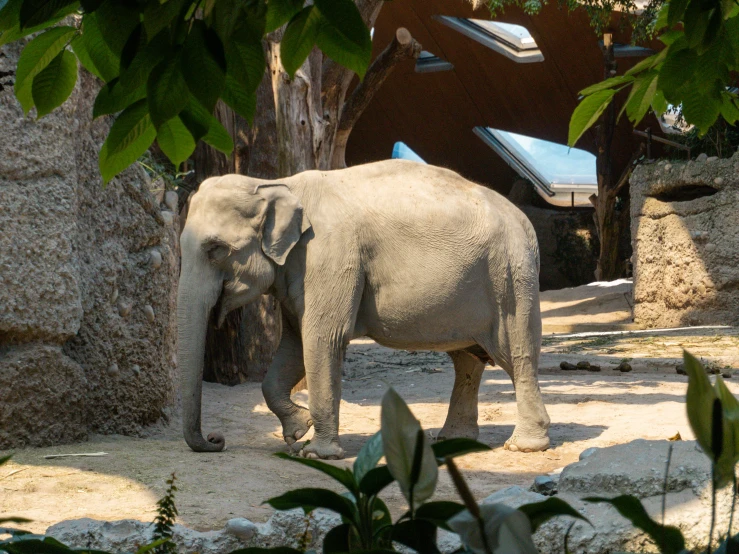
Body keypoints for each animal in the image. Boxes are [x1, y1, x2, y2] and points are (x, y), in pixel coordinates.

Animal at [178, 158, 548, 458]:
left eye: (215, 249)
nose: (216, 440)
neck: (278, 184)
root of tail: (525, 223)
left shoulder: (330, 256)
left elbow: (321, 338)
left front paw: (317, 453)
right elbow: (294, 344)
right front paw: (297, 432)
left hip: (511, 278)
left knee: (516, 355)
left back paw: (524, 446)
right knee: (467, 360)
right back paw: (453, 439)